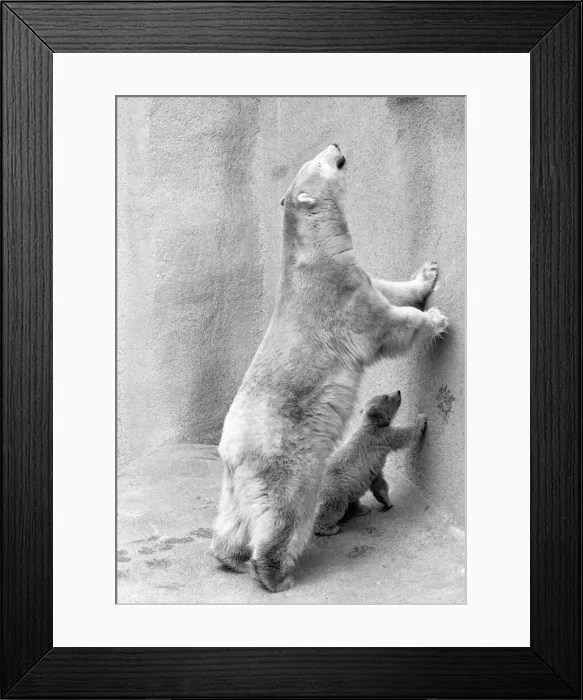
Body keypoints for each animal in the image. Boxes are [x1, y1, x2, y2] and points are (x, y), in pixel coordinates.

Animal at [314, 391, 427, 536]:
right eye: (386, 396)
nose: (398, 391)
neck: (370, 424)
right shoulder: (380, 436)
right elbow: (403, 435)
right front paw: (421, 417)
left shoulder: (373, 466)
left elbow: (379, 482)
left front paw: (385, 500)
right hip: (335, 489)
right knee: (333, 507)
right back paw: (329, 528)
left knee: (351, 500)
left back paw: (362, 509)